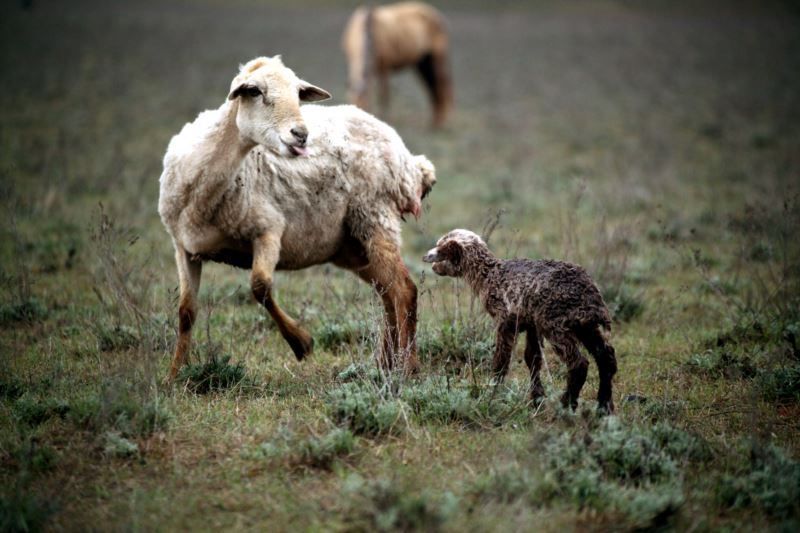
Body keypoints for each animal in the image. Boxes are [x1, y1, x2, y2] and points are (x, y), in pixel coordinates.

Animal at [159, 56, 434, 380]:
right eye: (254, 91)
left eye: (298, 94)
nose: (301, 135)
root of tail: (412, 163)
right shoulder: (183, 248)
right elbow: (186, 313)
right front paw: (173, 375)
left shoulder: (268, 230)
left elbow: (260, 286)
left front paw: (300, 342)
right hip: (353, 245)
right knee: (387, 292)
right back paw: (385, 364)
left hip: (375, 216)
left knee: (404, 289)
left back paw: (408, 367)